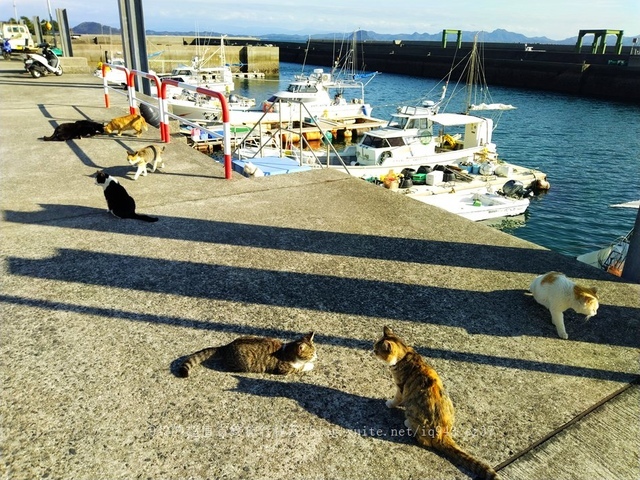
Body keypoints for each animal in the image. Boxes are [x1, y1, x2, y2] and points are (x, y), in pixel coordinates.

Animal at [178, 332, 318, 376]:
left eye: (316, 352)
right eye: (312, 354)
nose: (317, 357)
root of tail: (227, 346)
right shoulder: (283, 369)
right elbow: (299, 368)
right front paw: (310, 365)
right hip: (244, 364)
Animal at [376, 326, 500, 480]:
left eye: (376, 349)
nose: (372, 350)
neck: (405, 354)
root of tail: (442, 434)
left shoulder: (400, 387)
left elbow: (396, 399)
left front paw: (390, 403)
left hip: (413, 412)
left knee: (424, 440)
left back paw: (408, 424)